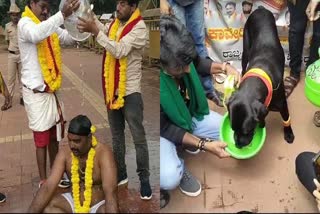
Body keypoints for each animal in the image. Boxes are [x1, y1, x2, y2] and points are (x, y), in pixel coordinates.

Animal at [228, 8, 296, 149]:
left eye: (247, 131)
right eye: (233, 129)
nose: (238, 145)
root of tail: (261, 9)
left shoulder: (282, 104)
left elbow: (286, 119)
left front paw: (288, 133)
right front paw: (262, 123)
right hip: (246, 50)